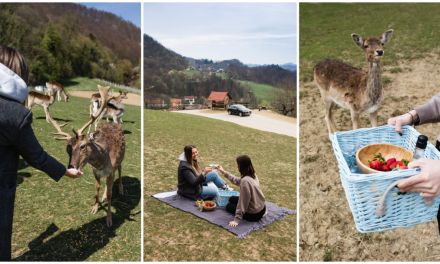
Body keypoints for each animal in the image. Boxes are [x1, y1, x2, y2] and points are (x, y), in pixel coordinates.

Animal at [49, 84, 125, 227]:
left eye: (82, 146)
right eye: (67, 149)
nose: (71, 167)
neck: (103, 162)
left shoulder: (111, 170)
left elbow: (111, 193)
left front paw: (109, 219)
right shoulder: (95, 170)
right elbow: (97, 187)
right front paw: (95, 207)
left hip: (121, 158)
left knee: (120, 169)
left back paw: (121, 189)